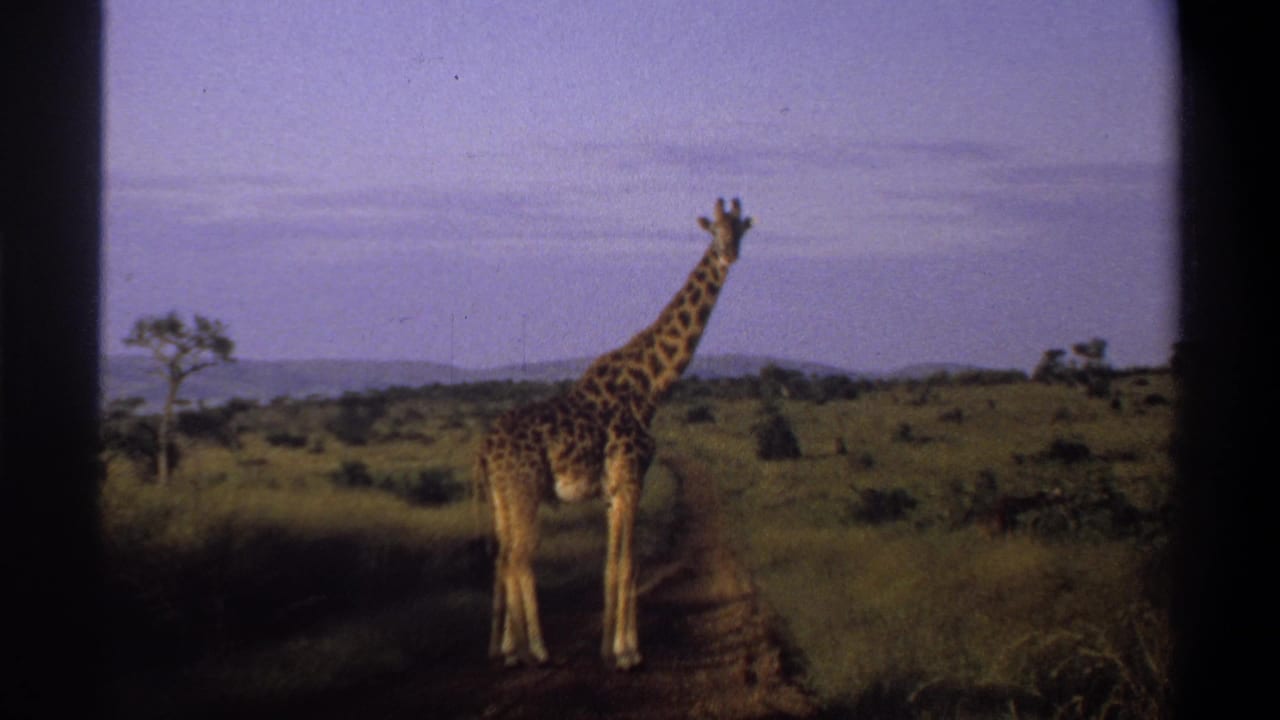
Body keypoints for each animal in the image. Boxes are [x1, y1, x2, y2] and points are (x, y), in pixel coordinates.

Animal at [475, 197, 753, 670]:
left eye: (740, 231)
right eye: (714, 232)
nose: (728, 255)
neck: (651, 386)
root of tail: (485, 448)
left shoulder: (611, 491)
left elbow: (611, 565)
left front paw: (609, 648)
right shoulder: (630, 477)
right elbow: (629, 564)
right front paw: (629, 652)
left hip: (502, 496)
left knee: (504, 558)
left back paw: (508, 649)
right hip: (525, 490)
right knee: (520, 558)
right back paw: (538, 649)